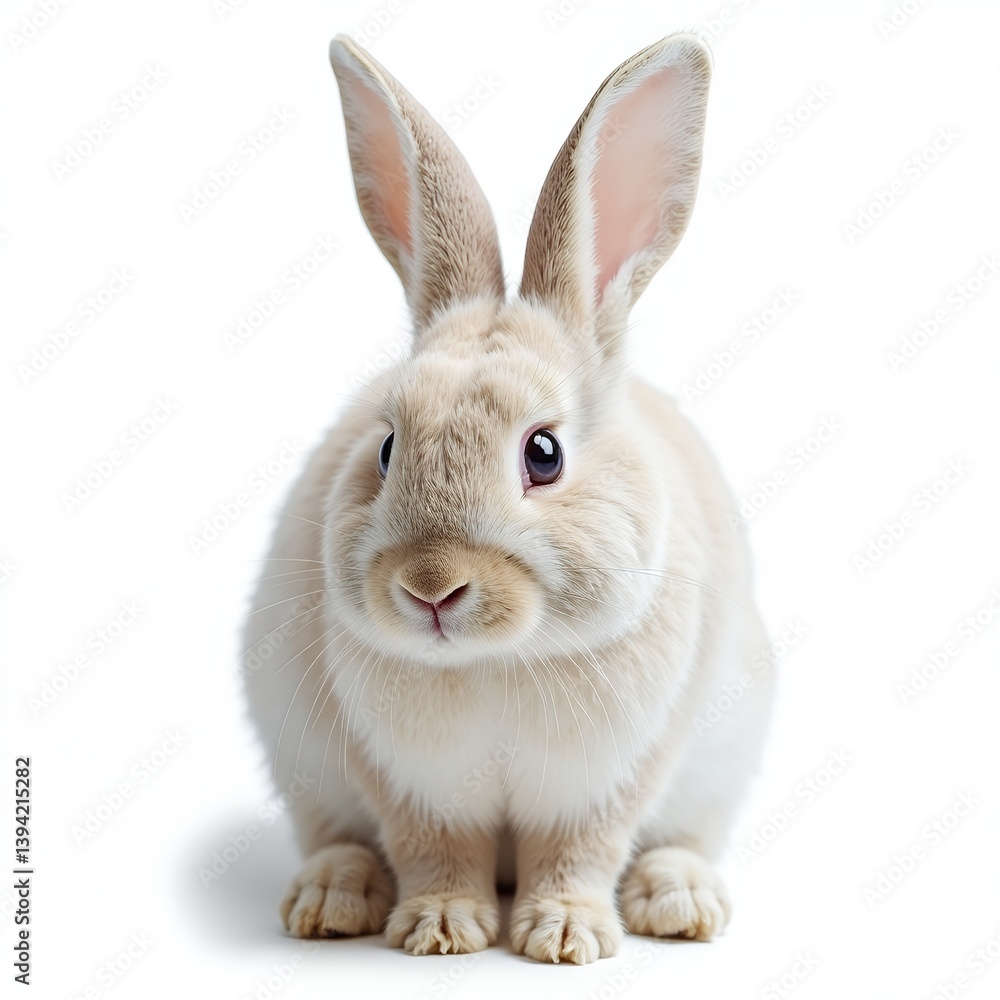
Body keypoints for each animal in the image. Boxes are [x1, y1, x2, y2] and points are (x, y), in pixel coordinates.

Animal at [241, 31, 775, 964]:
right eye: (387, 447)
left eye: (544, 453)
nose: (429, 587)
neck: (499, 659)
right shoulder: (402, 779)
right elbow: (433, 851)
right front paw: (440, 930)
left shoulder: (618, 773)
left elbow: (580, 851)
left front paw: (564, 936)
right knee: (337, 839)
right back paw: (332, 899)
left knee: (679, 843)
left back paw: (679, 902)